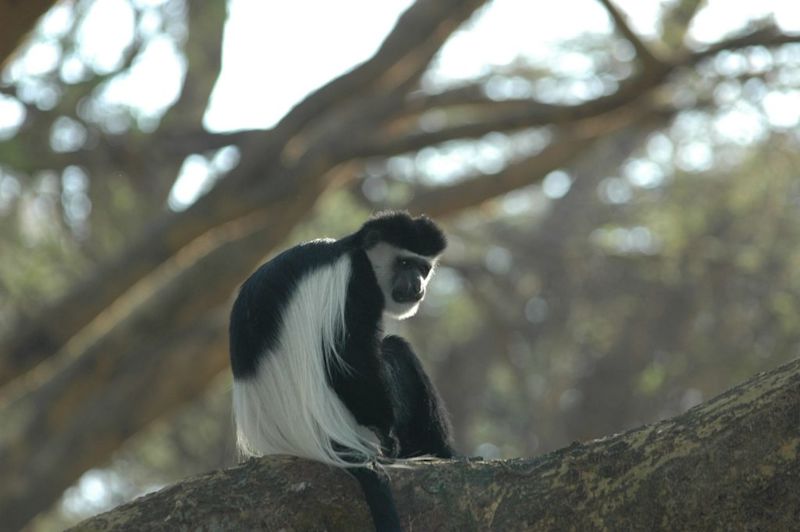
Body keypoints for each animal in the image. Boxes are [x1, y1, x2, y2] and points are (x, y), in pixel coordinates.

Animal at [231, 210, 456, 528]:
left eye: (423, 268)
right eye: (404, 263)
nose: (417, 287)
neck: (353, 249)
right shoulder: (356, 282)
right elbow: (351, 358)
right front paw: (387, 431)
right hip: (344, 424)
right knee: (394, 350)